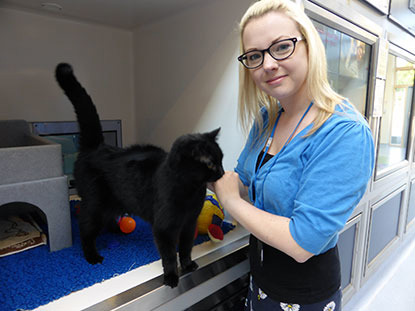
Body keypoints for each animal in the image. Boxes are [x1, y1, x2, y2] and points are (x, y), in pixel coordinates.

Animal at [55, 63, 226, 290]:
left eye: (221, 159)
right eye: (211, 163)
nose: (223, 172)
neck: (190, 191)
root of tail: (96, 147)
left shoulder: (189, 223)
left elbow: (186, 248)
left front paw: (188, 265)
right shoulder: (164, 229)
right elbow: (169, 255)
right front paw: (171, 276)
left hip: (115, 201)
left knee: (109, 218)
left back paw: (117, 231)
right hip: (95, 204)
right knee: (85, 227)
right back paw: (92, 256)